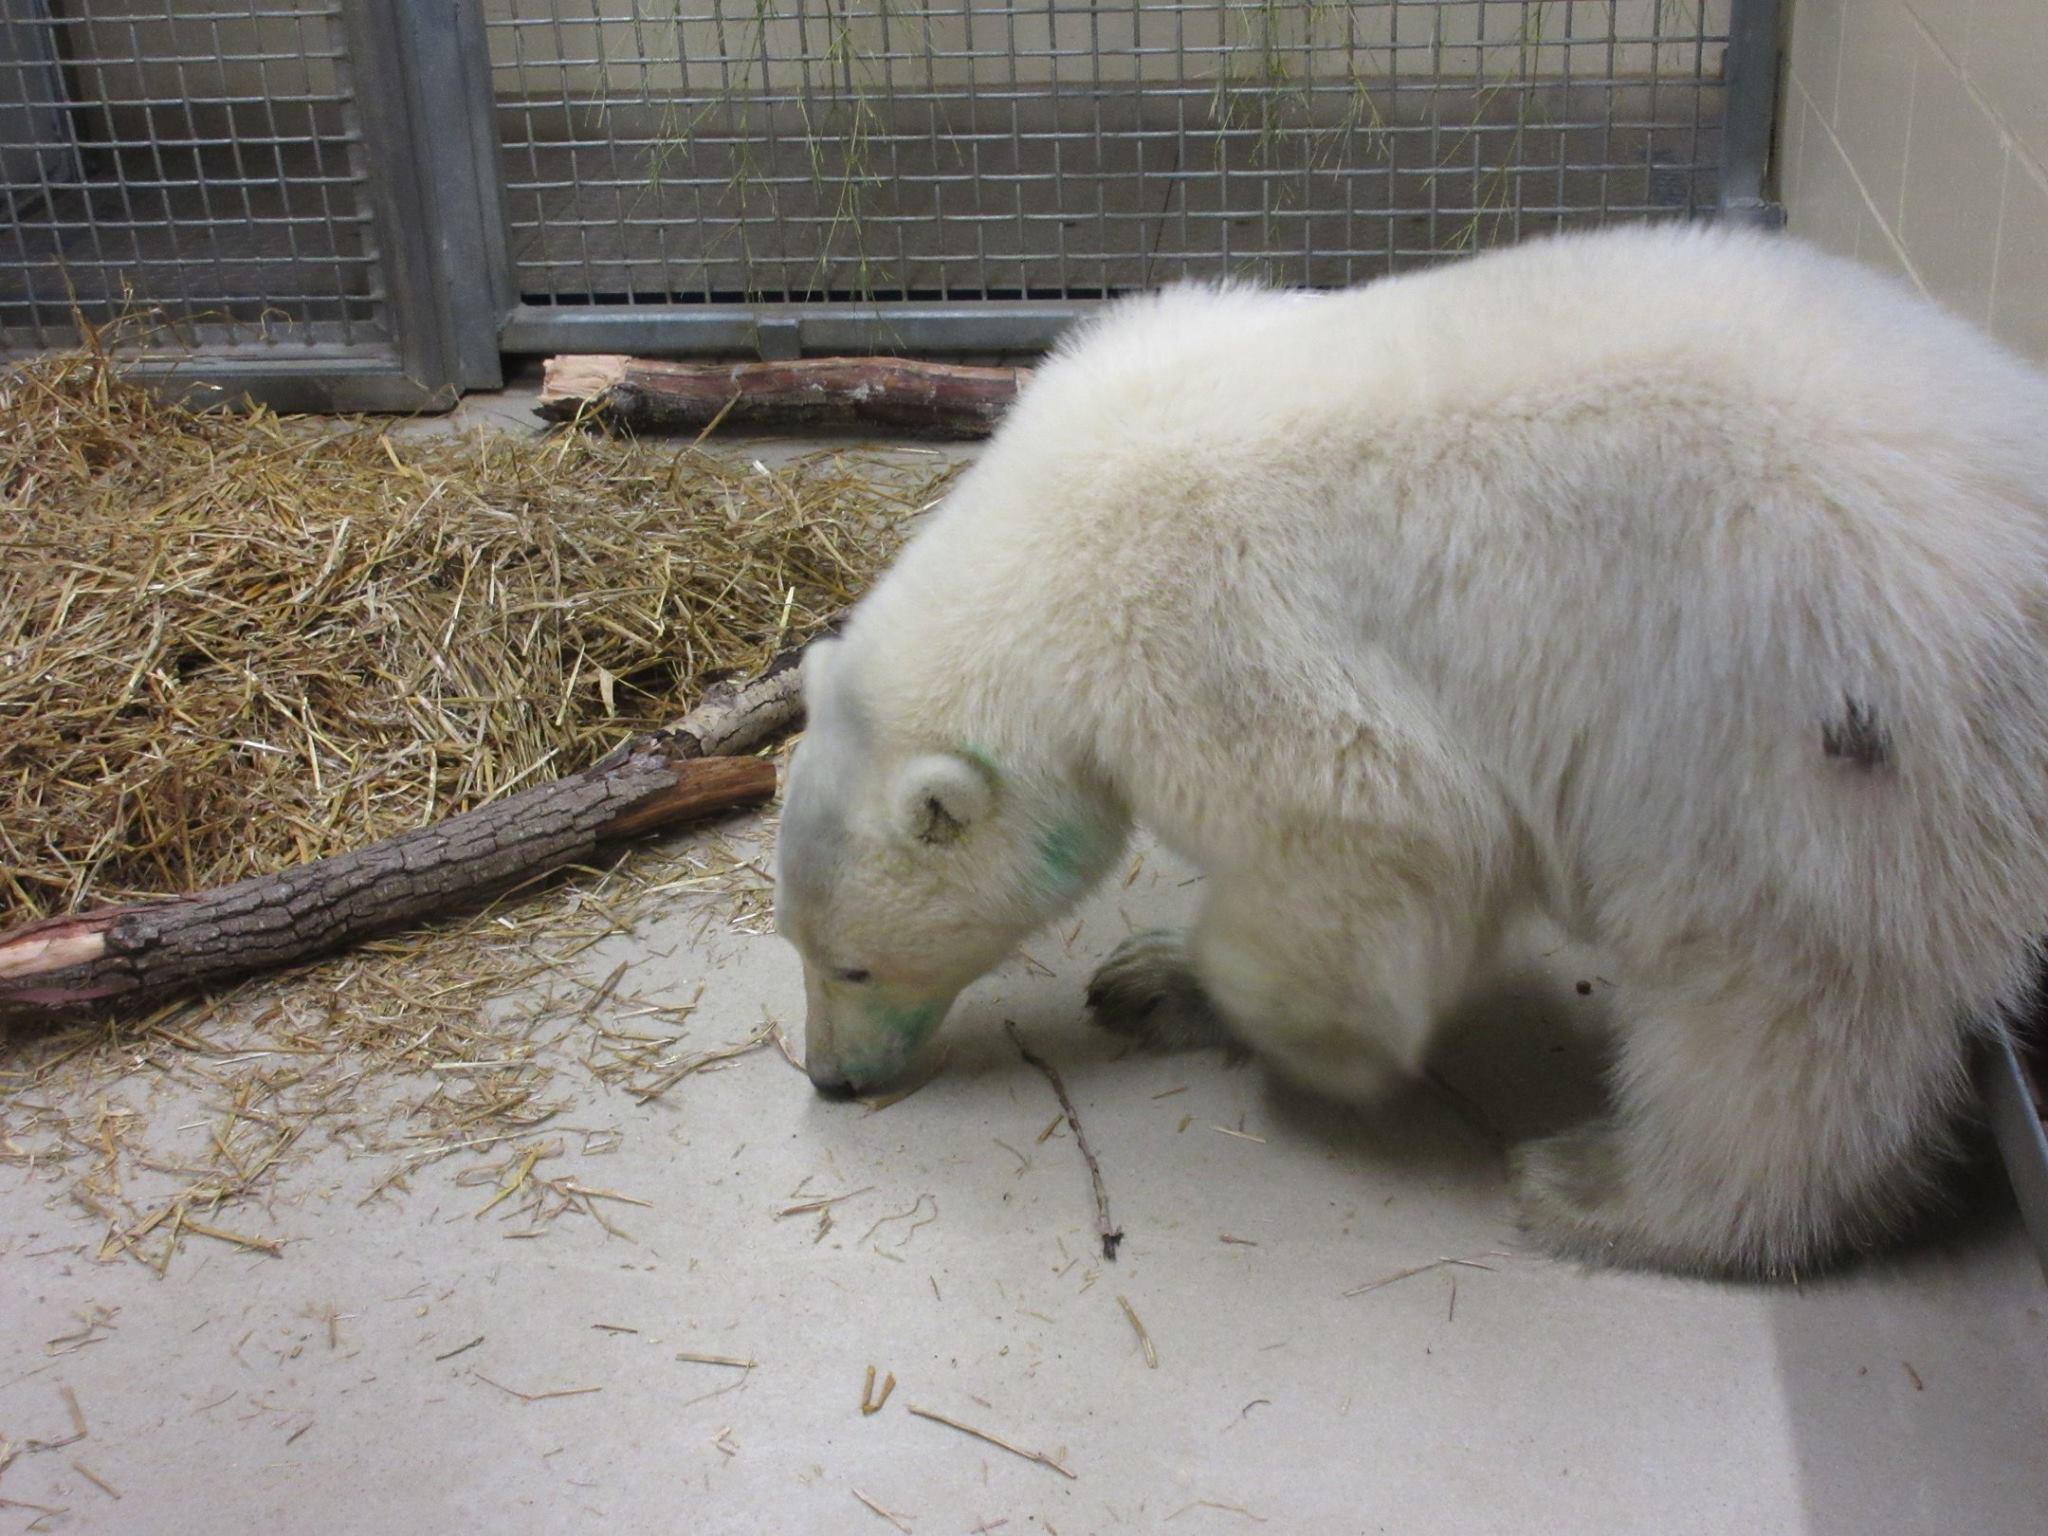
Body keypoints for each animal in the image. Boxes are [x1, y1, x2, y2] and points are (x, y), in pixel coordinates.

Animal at [770, 228, 2048, 1277]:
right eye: (794, 941)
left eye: (853, 967)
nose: (829, 1079)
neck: (1052, 539)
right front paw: (1144, 976)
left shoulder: (1206, 626)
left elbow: (1368, 832)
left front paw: (1293, 1030)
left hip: (1799, 727)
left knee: (1774, 996)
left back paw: (1606, 1192)